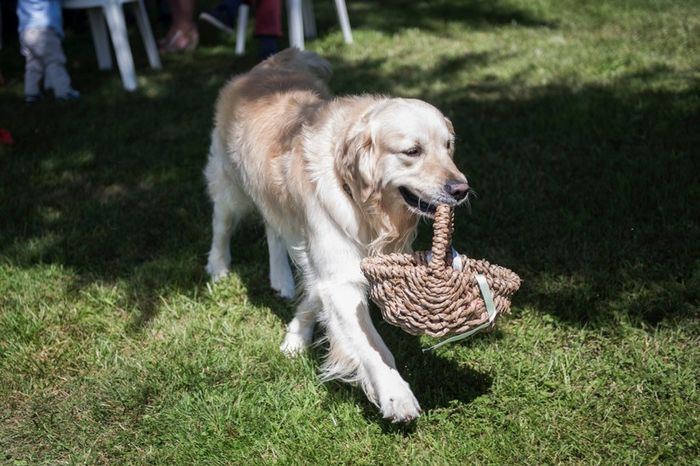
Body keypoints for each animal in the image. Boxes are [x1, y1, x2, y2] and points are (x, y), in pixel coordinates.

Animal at [208, 48, 470, 422]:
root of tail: (273, 60)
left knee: (274, 228)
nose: (462, 189)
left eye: (448, 147)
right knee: (222, 222)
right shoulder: (338, 272)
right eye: (412, 151)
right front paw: (395, 394)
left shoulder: (334, 261)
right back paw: (218, 267)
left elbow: (315, 293)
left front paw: (295, 336)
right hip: (231, 185)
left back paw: (280, 278)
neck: (366, 206)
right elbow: (373, 346)